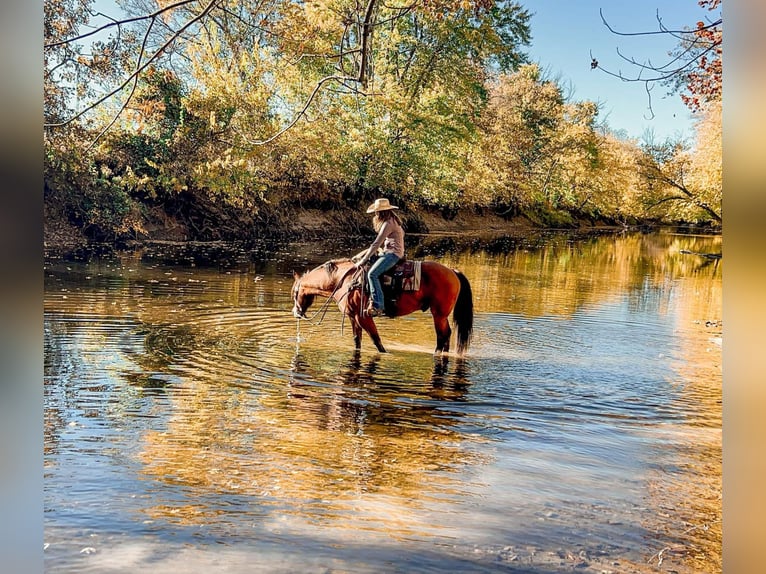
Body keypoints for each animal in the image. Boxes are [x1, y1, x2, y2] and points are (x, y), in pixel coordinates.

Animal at [294, 258, 474, 356]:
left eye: (294, 293)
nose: (296, 313)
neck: (343, 280)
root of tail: (452, 271)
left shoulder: (363, 317)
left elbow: (376, 340)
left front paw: (386, 353)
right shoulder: (353, 316)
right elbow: (357, 340)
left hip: (439, 314)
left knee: (443, 335)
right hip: (441, 315)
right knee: (447, 334)